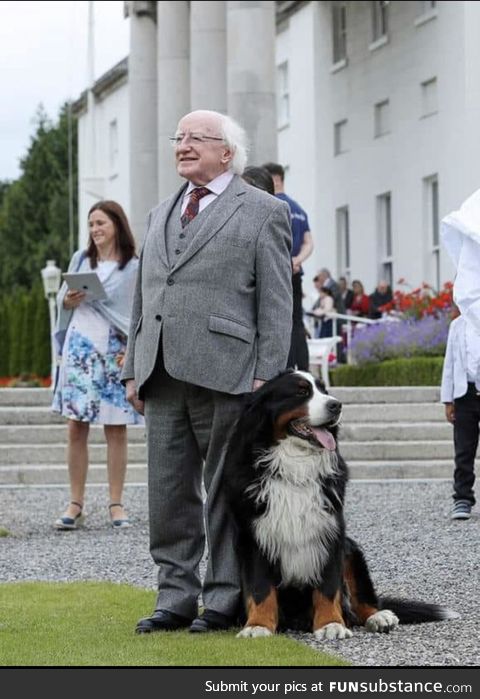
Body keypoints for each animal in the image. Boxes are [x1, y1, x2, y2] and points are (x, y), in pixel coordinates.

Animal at [223, 372, 460, 640]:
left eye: (325, 391)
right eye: (301, 392)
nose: (336, 405)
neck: (294, 467)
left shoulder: (331, 531)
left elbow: (328, 585)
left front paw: (330, 624)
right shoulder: (254, 535)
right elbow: (260, 588)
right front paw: (258, 625)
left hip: (352, 551)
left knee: (361, 602)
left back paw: (379, 617)